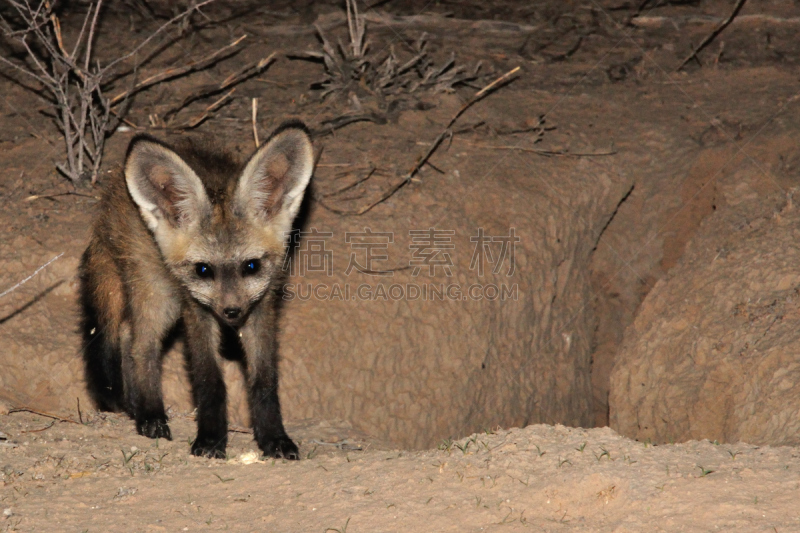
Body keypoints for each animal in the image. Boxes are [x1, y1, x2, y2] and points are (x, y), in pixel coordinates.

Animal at [77, 120, 310, 458]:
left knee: (126, 334)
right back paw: (150, 414)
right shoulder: (196, 309)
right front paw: (210, 440)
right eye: (203, 270)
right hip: (158, 295)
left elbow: (264, 381)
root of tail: (113, 193)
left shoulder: (260, 307)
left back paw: (134, 405)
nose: (231, 312)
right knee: (139, 344)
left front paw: (273, 438)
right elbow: (209, 380)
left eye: (251, 266)